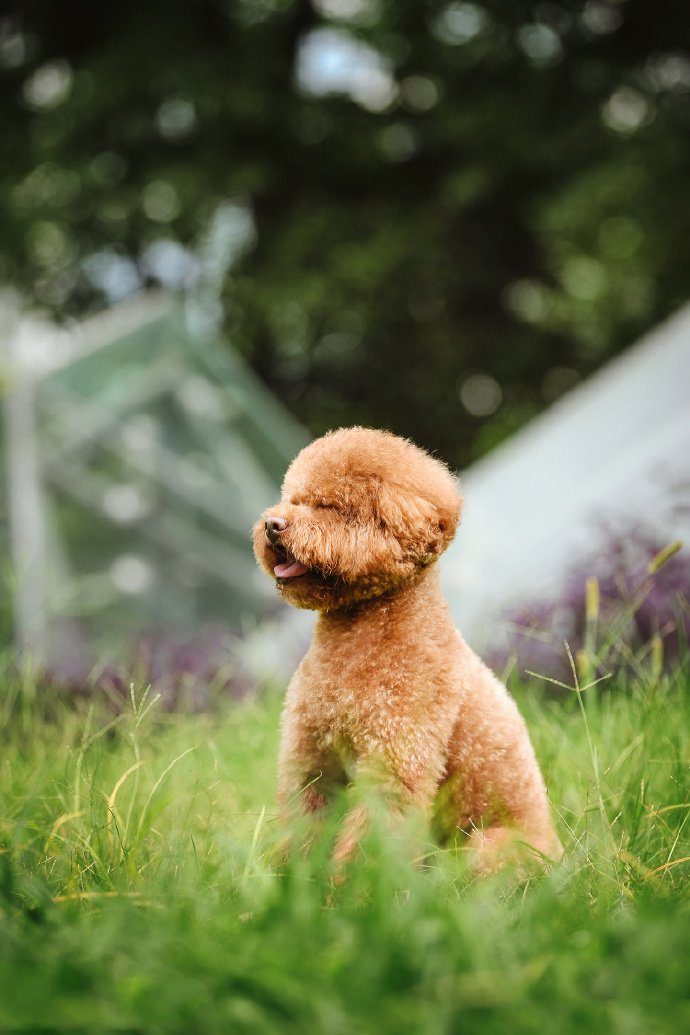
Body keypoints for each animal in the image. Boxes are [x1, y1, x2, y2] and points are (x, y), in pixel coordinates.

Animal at [253, 428, 562, 873]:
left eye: (329, 506)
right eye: (294, 499)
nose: (272, 525)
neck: (362, 633)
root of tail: (557, 849)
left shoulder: (396, 758)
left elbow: (373, 835)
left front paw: (352, 887)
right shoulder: (311, 753)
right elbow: (306, 817)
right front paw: (294, 877)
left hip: (489, 849)